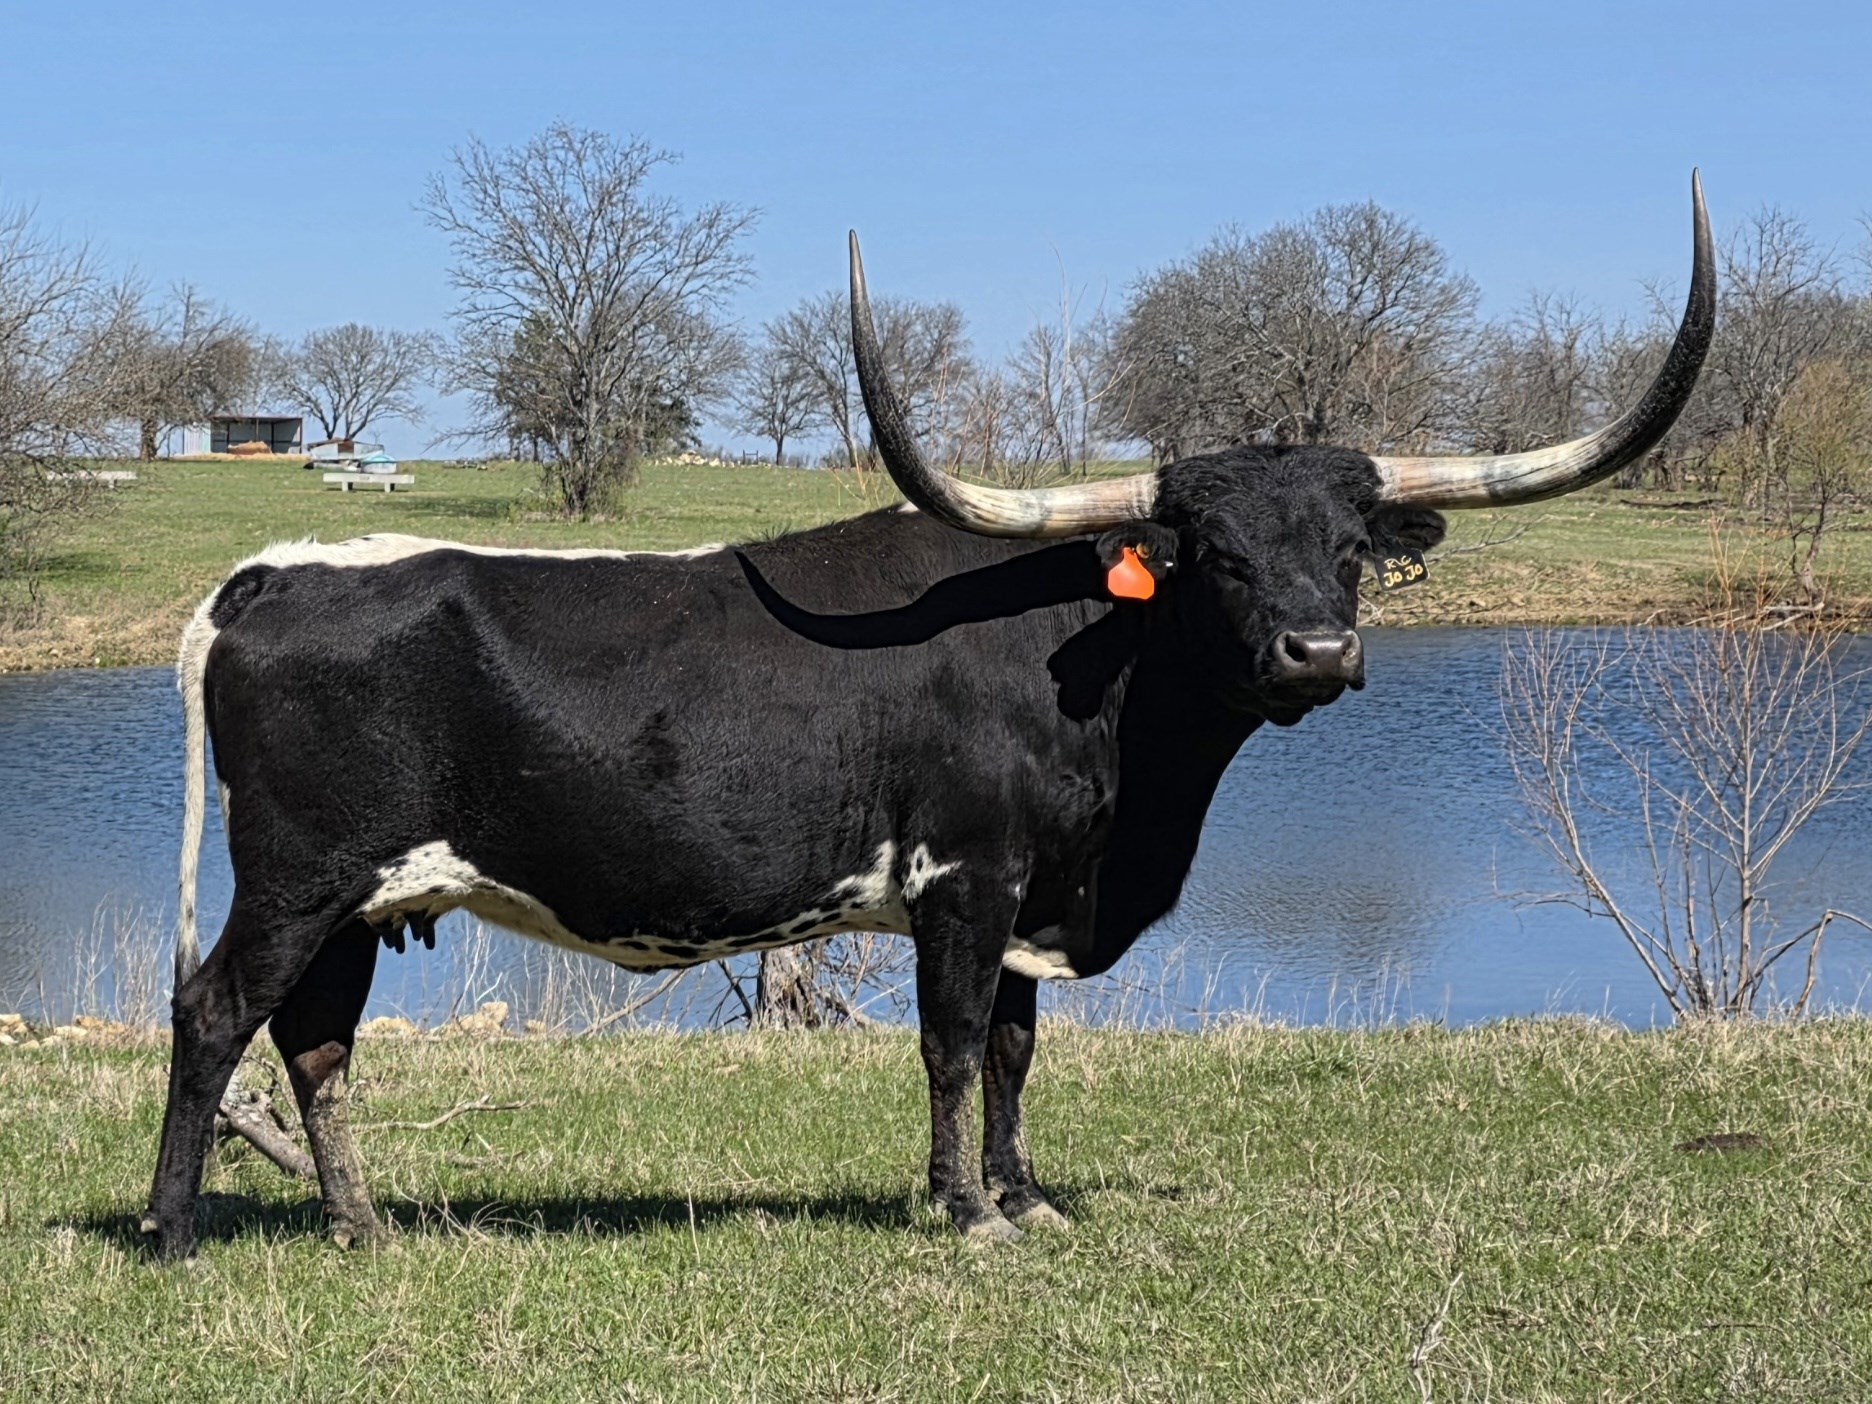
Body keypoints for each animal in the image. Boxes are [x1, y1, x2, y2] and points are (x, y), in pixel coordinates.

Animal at [143, 175, 1713, 1259]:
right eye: (1210, 550)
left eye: (1348, 547)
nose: (1317, 650)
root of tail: (271, 573)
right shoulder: (967, 874)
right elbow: (954, 1044)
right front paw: (967, 1212)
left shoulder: (1035, 888)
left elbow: (1016, 1048)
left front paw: (1025, 1195)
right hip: (297, 876)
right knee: (217, 1013)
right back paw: (171, 1232)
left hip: (364, 898)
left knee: (317, 1043)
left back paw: (364, 1228)